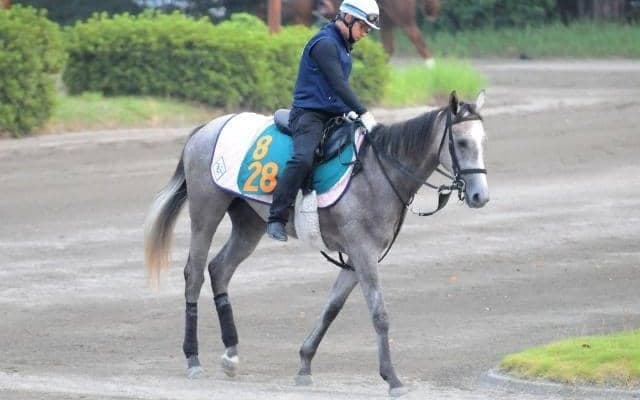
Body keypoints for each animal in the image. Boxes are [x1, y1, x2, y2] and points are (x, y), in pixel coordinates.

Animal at [144, 91, 489, 396]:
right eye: (461, 142)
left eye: (483, 141)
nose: (480, 196)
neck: (377, 172)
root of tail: (207, 128)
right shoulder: (363, 253)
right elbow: (379, 314)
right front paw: (392, 378)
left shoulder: (356, 259)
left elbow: (331, 308)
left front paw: (304, 364)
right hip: (206, 214)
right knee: (195, 275)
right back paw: (192, 357)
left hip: (249, 224)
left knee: (220, 270)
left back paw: (231, 354)